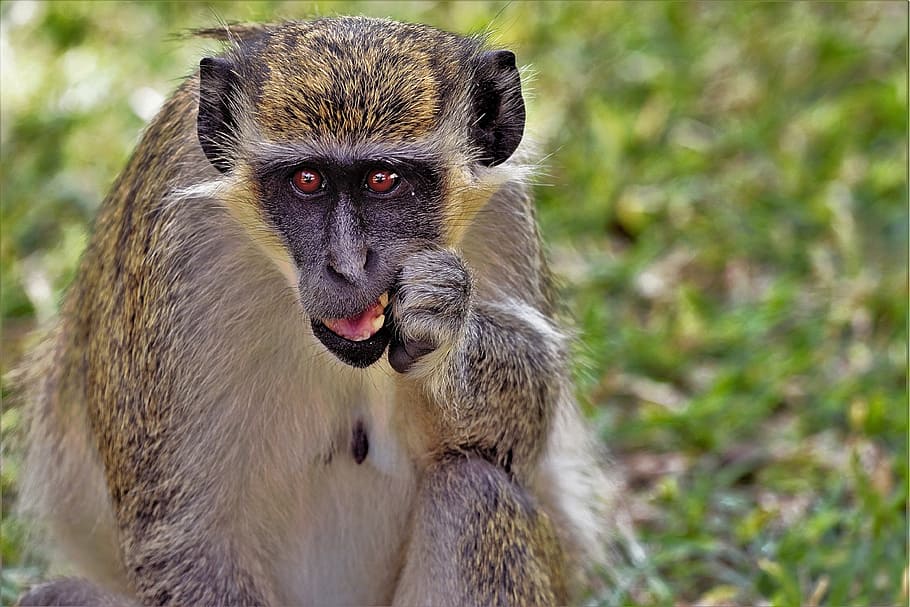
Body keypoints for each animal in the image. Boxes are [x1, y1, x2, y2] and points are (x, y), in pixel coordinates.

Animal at [17, 16, 636, 604]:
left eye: (384, 180)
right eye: (306, 180)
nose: (346, 265)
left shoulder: (504, 212)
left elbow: (528, 424)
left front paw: (445, 326)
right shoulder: (174, 250)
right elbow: (183, 538)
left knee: (473, 490)